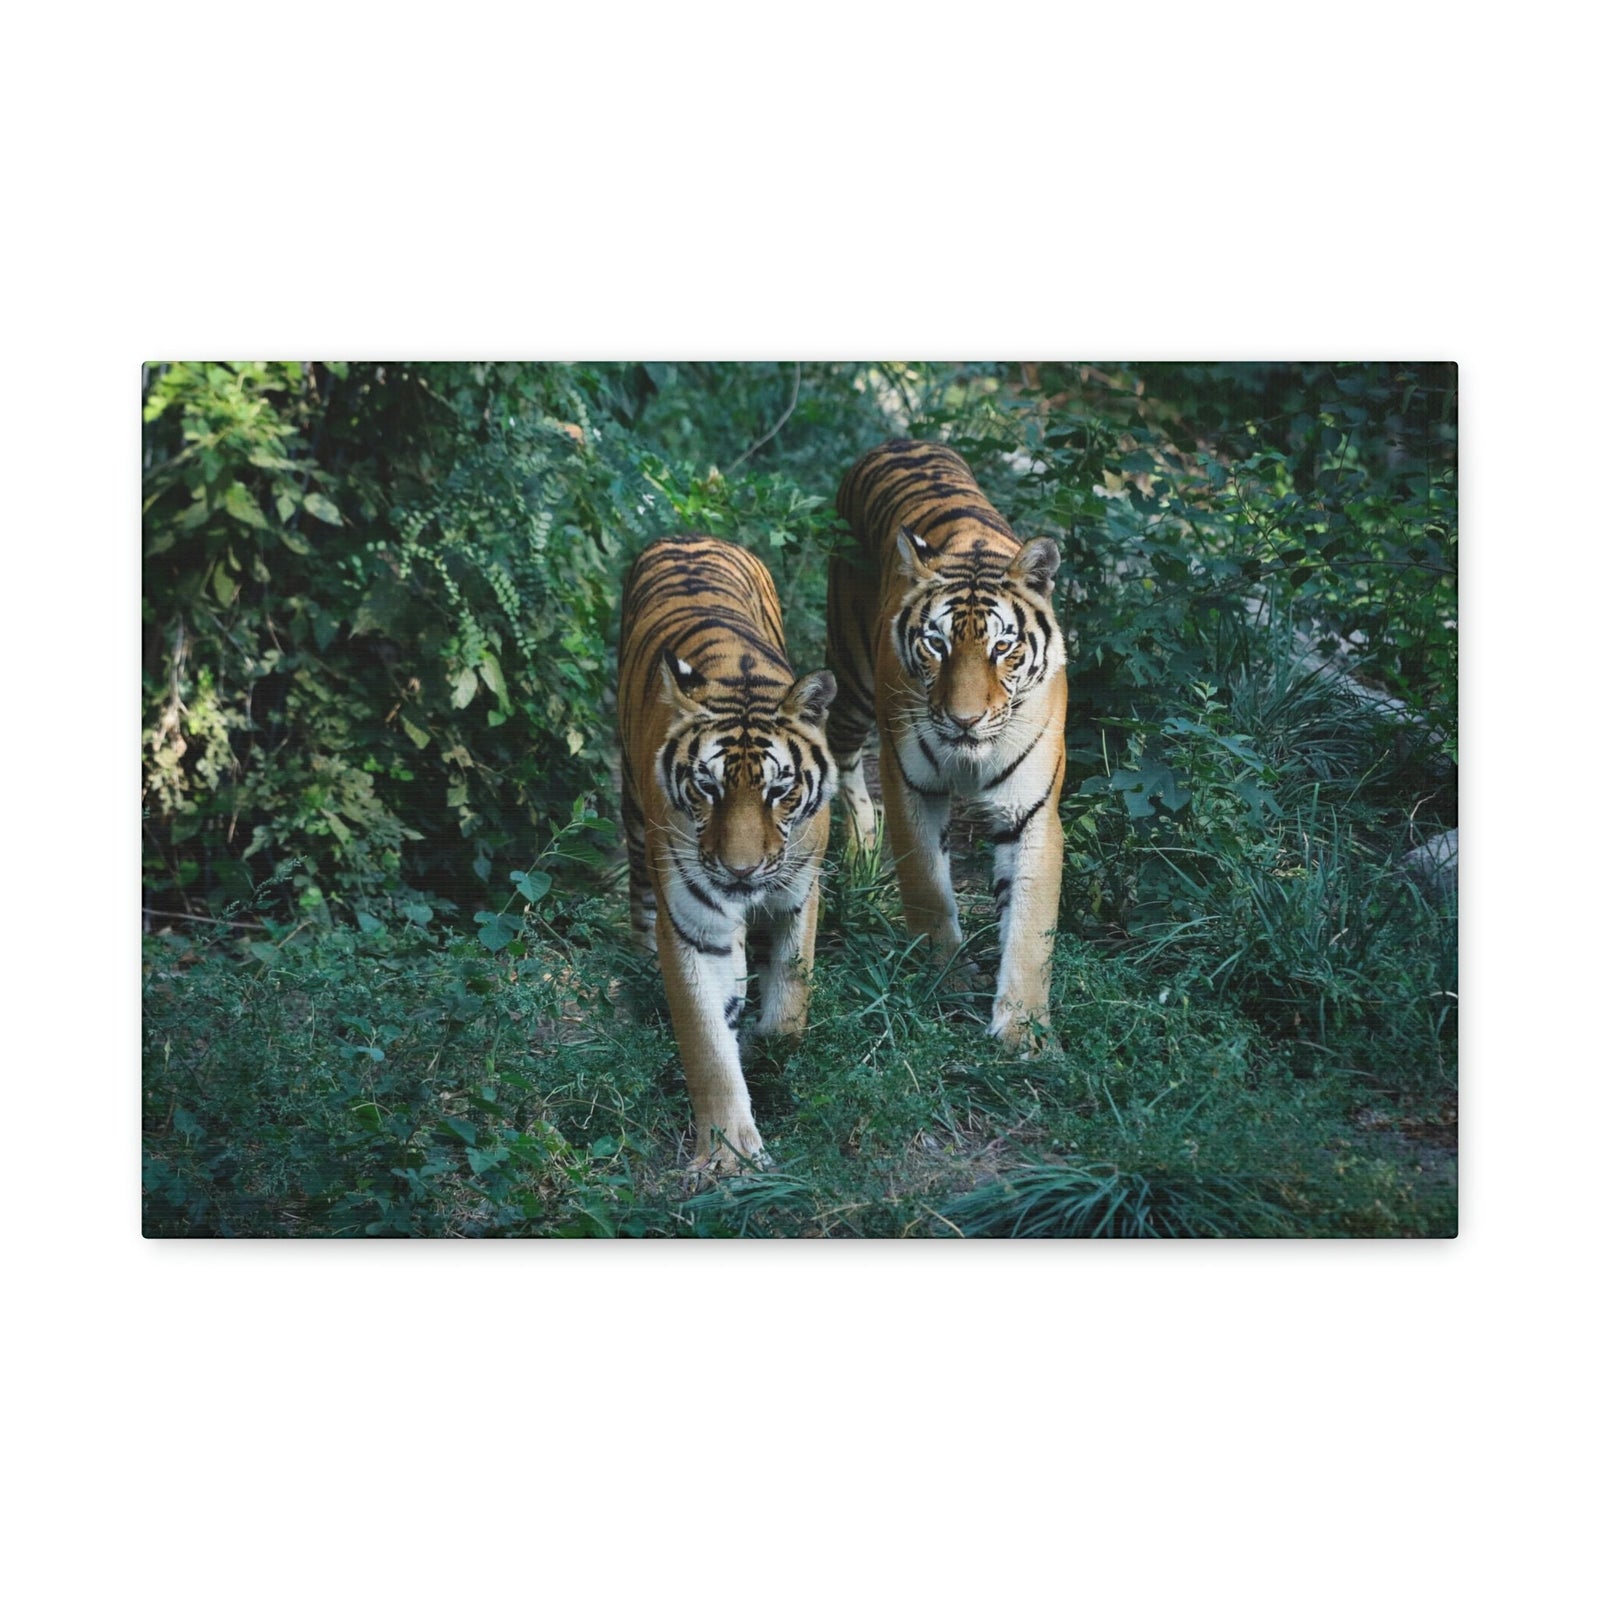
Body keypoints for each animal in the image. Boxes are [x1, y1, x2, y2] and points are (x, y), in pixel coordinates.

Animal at [618, 534, 837, 1173]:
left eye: (779, 790)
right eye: (707, 788)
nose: (740, 871)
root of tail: (690, 535)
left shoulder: (800, 890)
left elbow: (791, 1002)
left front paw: (769, 1051)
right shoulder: (692, 924)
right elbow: (706, 1043)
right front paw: (727, 1154)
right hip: (633, 810)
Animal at [825, 439, 1067, 1053]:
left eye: (1003, 647)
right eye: (936, 644)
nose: (964, 720)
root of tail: (898, 441)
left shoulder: (1031, 811)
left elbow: (1030, 926)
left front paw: (1023, 1029)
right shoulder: (910, 784)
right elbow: (929, 888)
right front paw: (947, 978)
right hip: (852, 678)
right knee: (842, 760)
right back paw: (860, 848)